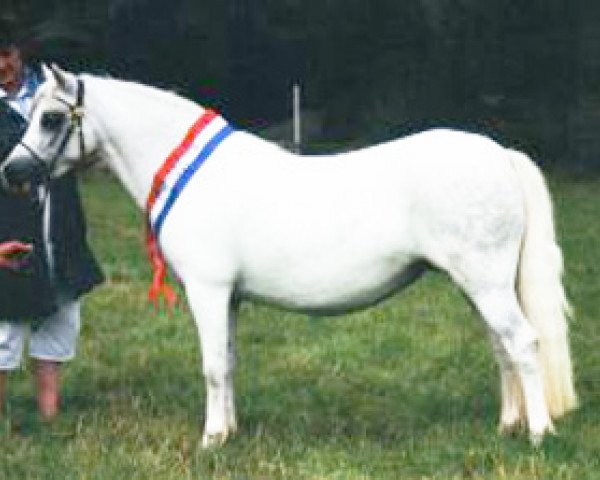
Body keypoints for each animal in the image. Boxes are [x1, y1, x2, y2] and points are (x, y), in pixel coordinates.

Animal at [2, 64, 580, 446]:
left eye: (50, 118)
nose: (12, 172)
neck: (193, 175)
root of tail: (498, 153)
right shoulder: (229, 299)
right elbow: (229, 361)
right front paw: (230, 431)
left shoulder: (208, 292)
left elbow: (212, 366)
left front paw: (210, 441)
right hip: (477, 285)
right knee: (502, 348)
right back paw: (508, 425)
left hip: (485, 283)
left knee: (522, 343)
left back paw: (537, 433)